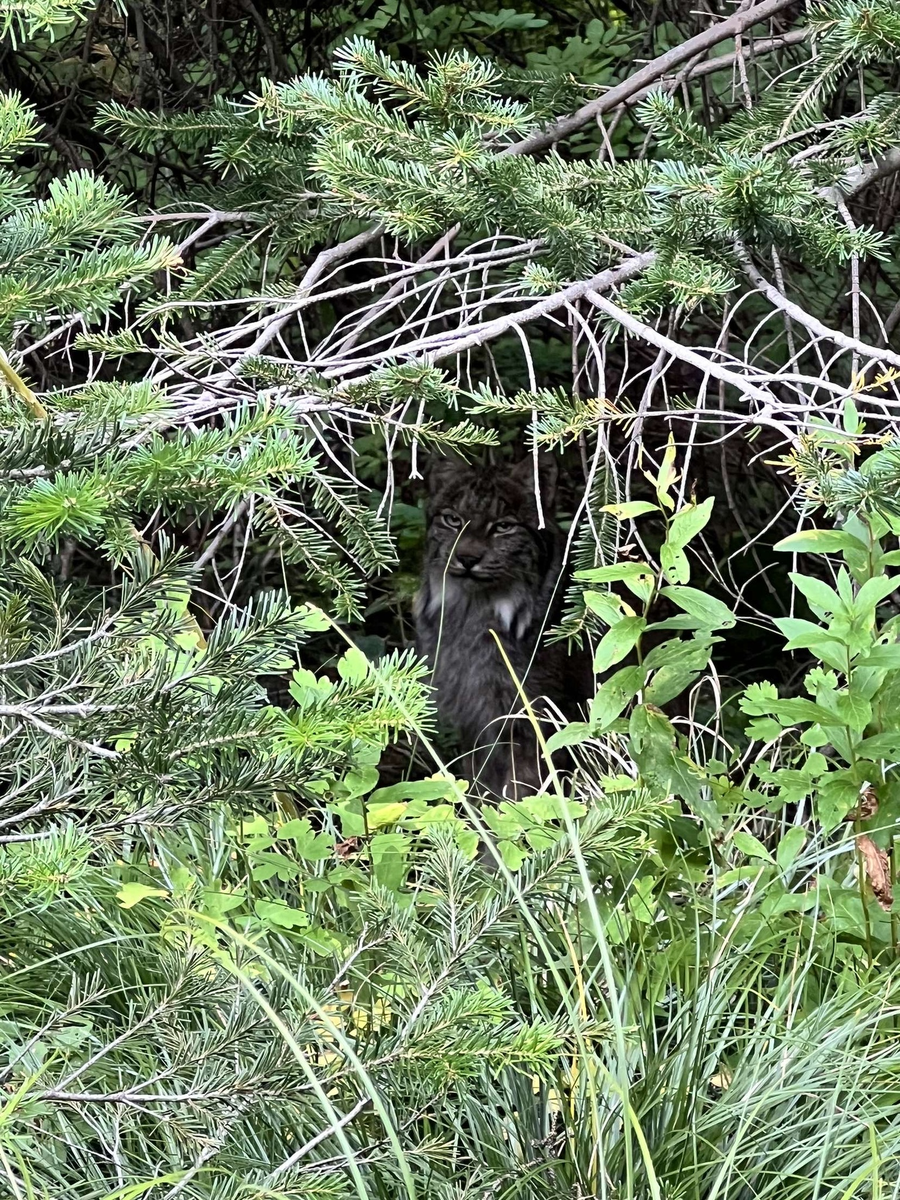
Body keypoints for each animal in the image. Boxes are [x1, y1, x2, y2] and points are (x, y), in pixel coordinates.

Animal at [414, 453, 592, 800]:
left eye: (504, 527)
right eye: (452, 520)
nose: (467, 558)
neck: (474, 611)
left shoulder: (532, 719)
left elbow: (523, 790)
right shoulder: (476, 719)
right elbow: (480, 783)